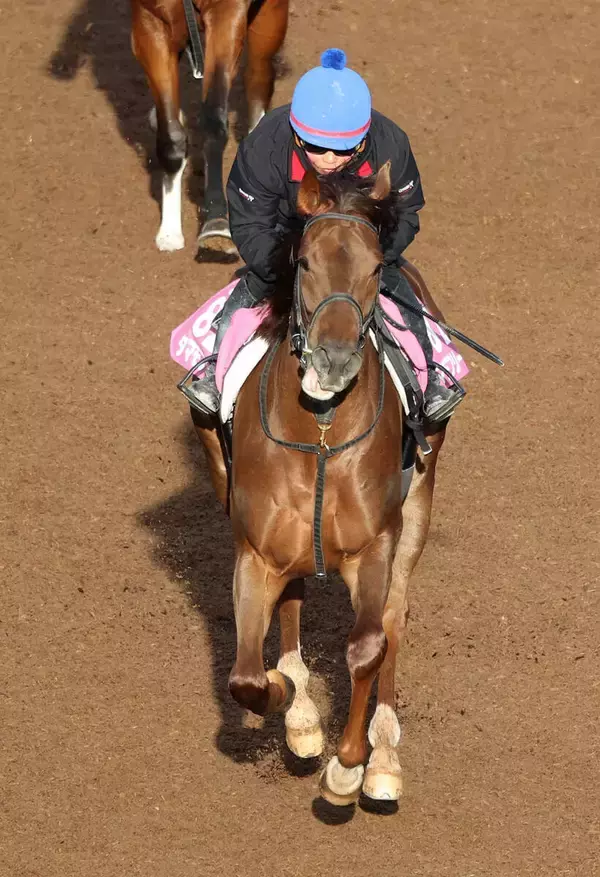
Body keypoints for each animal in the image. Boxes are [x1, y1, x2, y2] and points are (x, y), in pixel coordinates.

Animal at [130, 0, 288, 254]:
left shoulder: (228, 14)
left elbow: (214, 121)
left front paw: (216, 223)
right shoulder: (149, 22)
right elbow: (171, 136)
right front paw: (170, 231)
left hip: (271, 19)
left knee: (258, 76)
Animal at [192, 163, 447, 805]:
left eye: (376, 266)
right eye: (304, 262)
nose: (333, 360)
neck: (323, 434)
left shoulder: (376, 545)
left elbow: (368, 646)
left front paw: (350, 767)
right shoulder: (256, 552)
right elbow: (246, 677)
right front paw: (289, 701)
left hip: (419, 506)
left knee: (393, 622)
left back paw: (383, 755)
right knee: (292, 605)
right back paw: (302, 713)